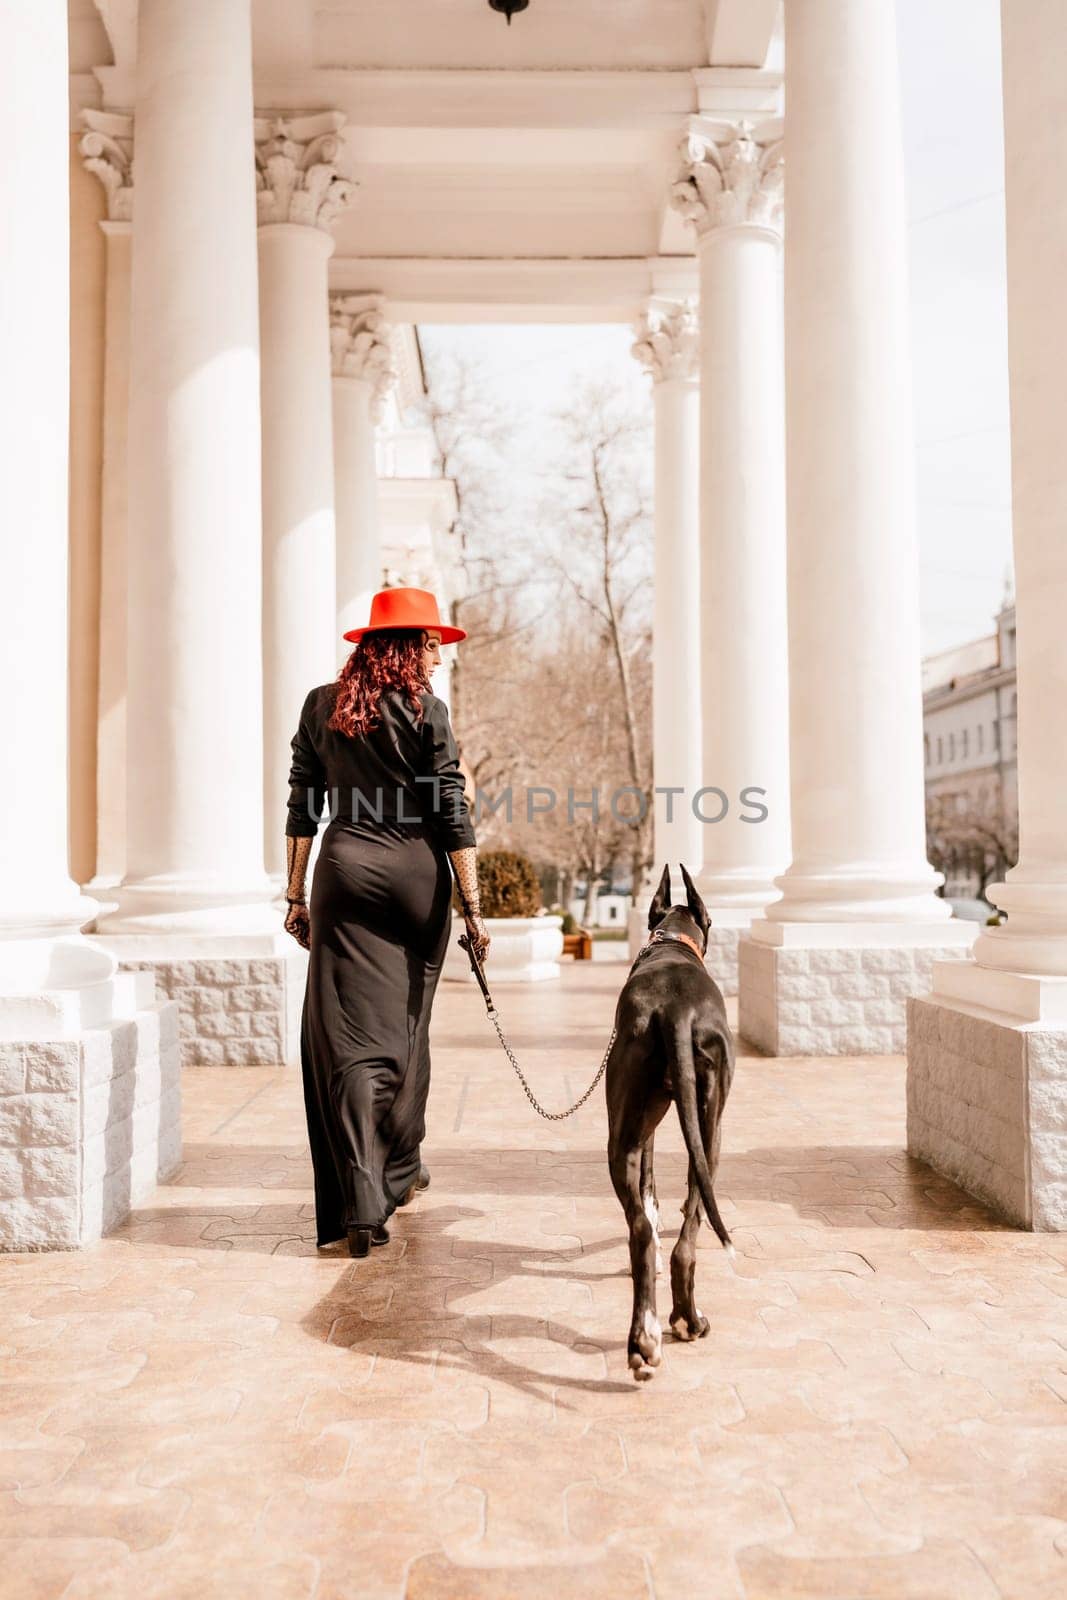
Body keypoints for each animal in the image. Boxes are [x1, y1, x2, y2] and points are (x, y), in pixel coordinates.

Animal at [607, 864, 735, 1376]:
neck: (672, 942)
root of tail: (675, 1010)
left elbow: (650, 1196)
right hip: (710, 1132)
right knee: (689, 1234)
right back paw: (687, 1320)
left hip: (623, 1134)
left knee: (641, 1231)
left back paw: (644, 1339)